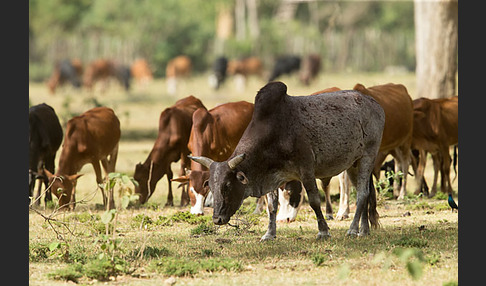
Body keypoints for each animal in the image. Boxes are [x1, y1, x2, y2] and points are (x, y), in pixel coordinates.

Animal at [189, 81, 384, 240]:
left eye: (228, 186)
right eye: (210, 186)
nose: (217, 219)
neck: (275, 132)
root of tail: (374, 104)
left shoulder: (306, 170)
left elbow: (314, 201)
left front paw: (323, 232)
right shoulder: (271, 177)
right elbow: (271, 206)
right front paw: (269, 234)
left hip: (368, 155)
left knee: (362, 193)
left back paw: (352, 230)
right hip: (353, 164)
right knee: (366, 192)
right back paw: (364, 230)